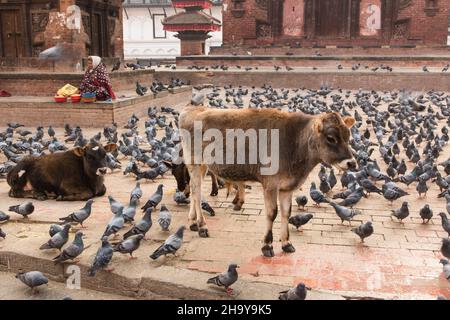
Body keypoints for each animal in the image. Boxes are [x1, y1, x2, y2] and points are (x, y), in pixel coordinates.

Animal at [178, 107, 356, 258]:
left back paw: (193, 222)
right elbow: (272, 213)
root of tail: (192, 109)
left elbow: (286, 213)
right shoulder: (270, 185)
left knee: (193, 191)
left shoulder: (286, 188)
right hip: (194, 163)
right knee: (196, 192)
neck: (294, 143)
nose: (352, 163)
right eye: (331, 138)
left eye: (348, 136)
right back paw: (202, 226)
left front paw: (286, 243)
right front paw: (267, 245)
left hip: (202, 166)